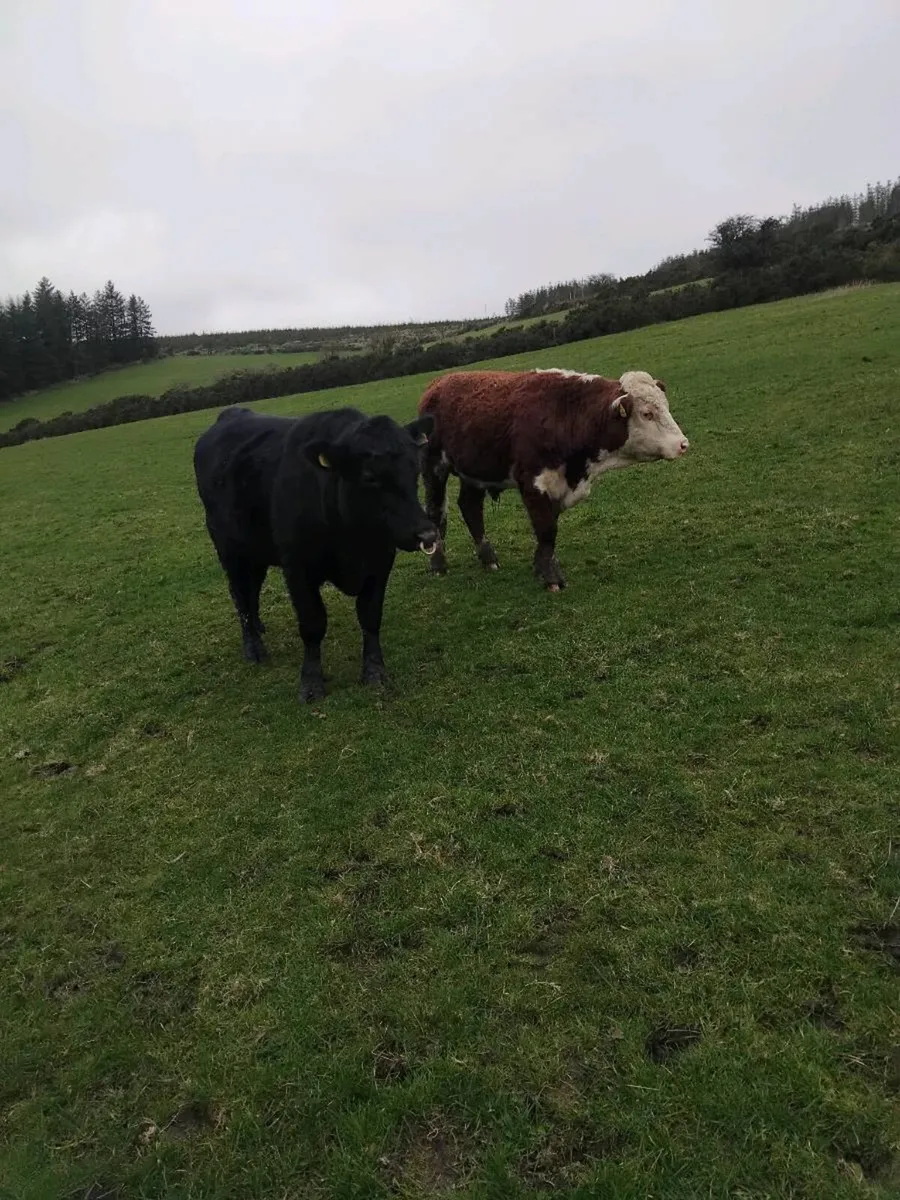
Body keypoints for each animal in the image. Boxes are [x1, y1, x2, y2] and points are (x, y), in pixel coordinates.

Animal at [193, 405, 437, 703]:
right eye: (370, 477)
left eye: (415, 469)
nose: (427, 534)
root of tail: (231, 414)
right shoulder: (297, 568)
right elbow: (312, 623)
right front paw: (311, 683)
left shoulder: (381, 561)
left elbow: (370, 616)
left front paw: (374, 671)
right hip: (229, 549)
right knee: (240, 595)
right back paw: (253, 646)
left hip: (257, 552)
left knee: (252, 591)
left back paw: (259, 627)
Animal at [418, 368, 689, 590]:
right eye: (647, 414)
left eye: (666, 407)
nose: (683, 444)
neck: (566, 414)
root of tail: (439, 383)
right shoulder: (534, 484)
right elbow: (547, 529)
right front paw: (552, 579)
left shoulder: (558, 487)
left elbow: (548, 532)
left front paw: (541, 567)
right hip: (434, 467)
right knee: (436, 512)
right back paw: (439, 564)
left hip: (474, 472)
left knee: (471, 508)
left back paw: (488, 558)